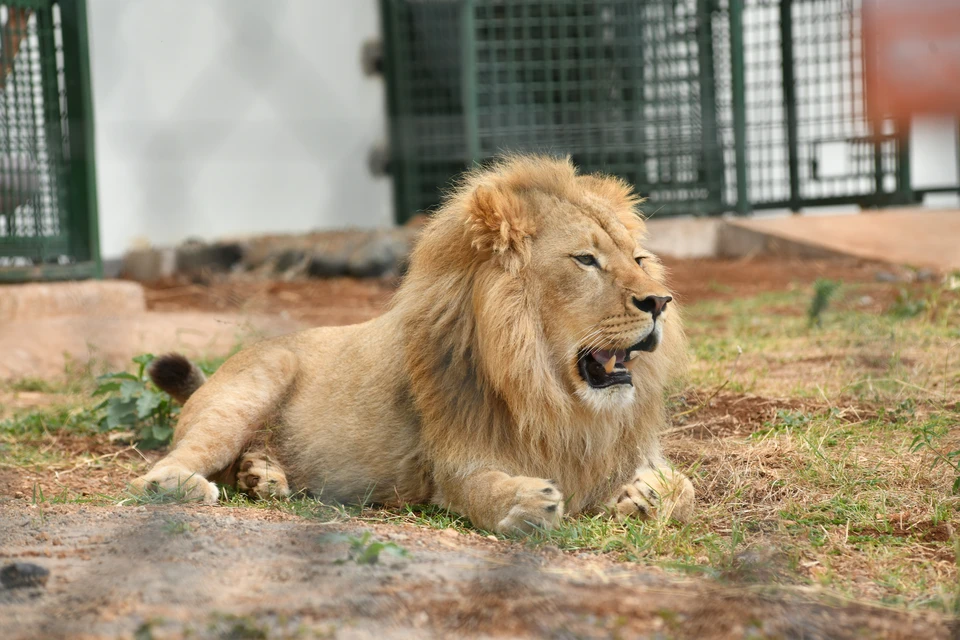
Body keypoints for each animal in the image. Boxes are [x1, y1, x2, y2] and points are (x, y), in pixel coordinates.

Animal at [131, 155, 692, 536]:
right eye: (585, 260)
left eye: (639, 258)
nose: (659, 301)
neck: (554, 396)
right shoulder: (450, 464)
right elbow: (480, 489)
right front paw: (526, 503)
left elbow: (685, 488)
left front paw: (644, 494)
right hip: (248, 391)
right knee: (156, 472)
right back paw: (184, 484)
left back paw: (261, 475)